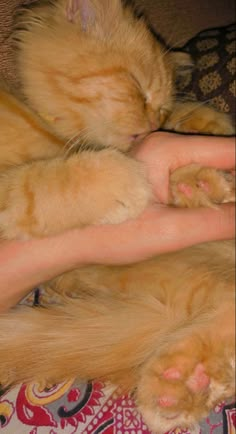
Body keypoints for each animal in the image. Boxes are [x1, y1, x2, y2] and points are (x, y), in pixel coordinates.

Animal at [0, 1, 234, 432]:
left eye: (159, 105)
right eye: (137, 88)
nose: (150, 124)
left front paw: (200, 170)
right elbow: (34, 186)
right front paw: (125, 177)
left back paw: (179, 384)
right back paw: (181, 384)